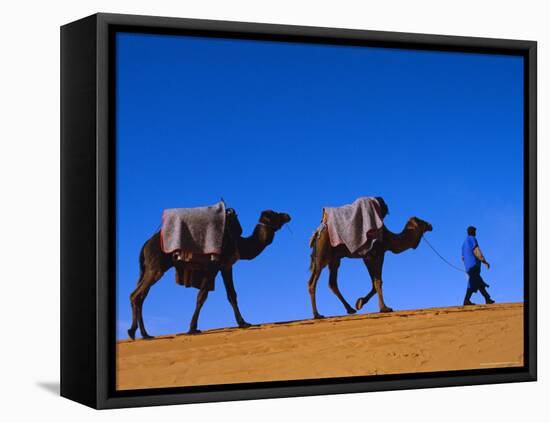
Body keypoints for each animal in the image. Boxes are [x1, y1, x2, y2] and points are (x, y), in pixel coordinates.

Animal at [129, 210, 294, 342]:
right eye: (275, 214)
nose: (287, 215)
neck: (238, 242)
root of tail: (145, 245)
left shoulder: (226, 266)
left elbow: (231, 295)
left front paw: (243, 323)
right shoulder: (213, 266)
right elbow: (202, 296)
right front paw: (192, 328)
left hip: (148, 269)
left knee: (140, 296)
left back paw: (142, 334)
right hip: (156, 268)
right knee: (136, 295)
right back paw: (136, 333)